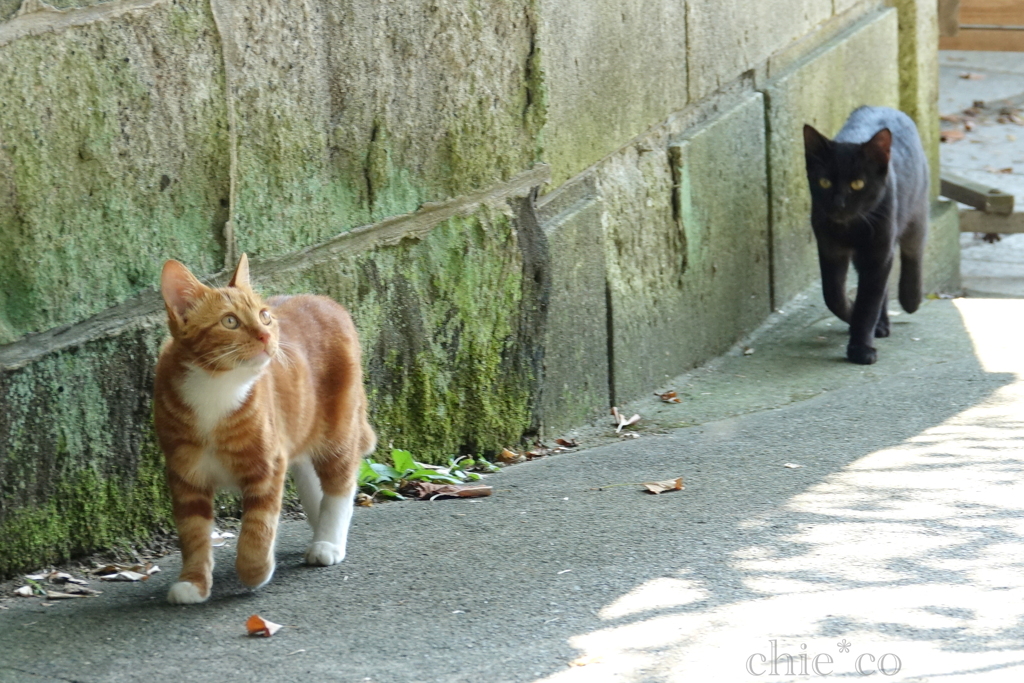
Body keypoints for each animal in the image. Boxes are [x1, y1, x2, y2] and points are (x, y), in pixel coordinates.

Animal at [151, 254, 376, 602]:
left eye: (264, 316)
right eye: (230, 321)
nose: (266, 335)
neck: (216, 388)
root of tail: (323, 299)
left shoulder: (266, 467)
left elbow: (257, 527)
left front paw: (254, 570)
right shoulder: (185, 476)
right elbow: (193, 534)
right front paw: (193, 582)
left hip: (337, 429)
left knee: (340, 484)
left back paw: (328, 541)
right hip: (300, 429)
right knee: (310, 476)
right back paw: (319, 524)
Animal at [802, 105, 933, 366]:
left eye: (857, 184)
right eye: (824, 182)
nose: (839, 204)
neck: (851, 228)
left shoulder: (878, 253)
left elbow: (868, 303)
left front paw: (860, 348)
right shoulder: (831, 250)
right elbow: (833, 295)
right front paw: (851, 314)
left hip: (916, 212)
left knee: (913, 252)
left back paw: (910, 299)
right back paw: (881, 325)